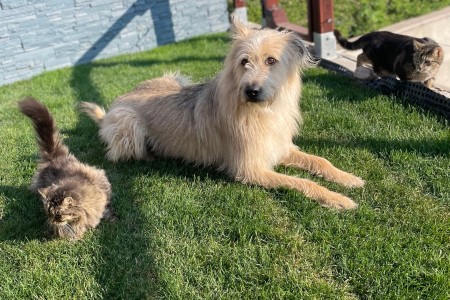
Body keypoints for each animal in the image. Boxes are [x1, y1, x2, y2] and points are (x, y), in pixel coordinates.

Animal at [79, 18, 364, 210]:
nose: (251, 91)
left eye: (271, 61)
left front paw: (347, 178)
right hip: (128, 124)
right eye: (244, 62)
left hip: (176, 78)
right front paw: (337, 198)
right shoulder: (250, 169)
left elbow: (320, 161)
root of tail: (110, 109)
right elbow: (302, 182)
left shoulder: (279, 147)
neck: (262, 111)